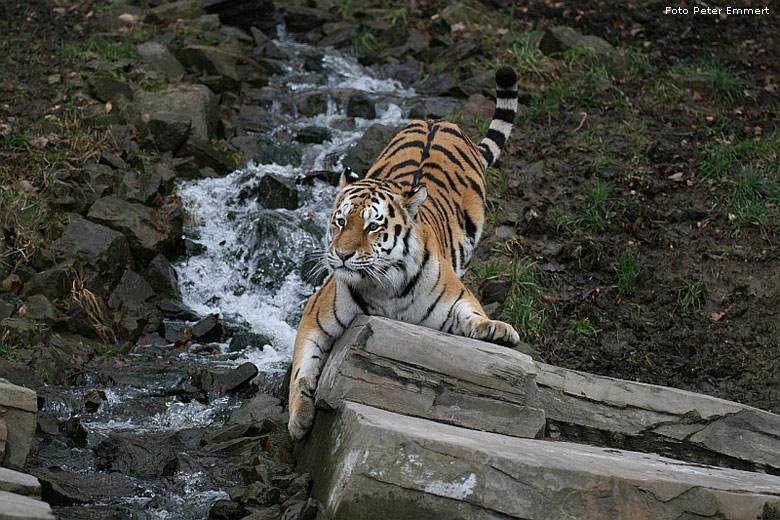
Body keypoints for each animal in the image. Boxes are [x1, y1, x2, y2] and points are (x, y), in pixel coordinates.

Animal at [286, 64, 516, 438]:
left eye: (372, 226)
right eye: (340, 222)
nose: (342, 255)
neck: (386, 286)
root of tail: (439, 121)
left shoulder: (455, 300)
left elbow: (472, 315)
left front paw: (495, 330)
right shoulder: (315, 314)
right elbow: (302, 366)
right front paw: (299, 418)